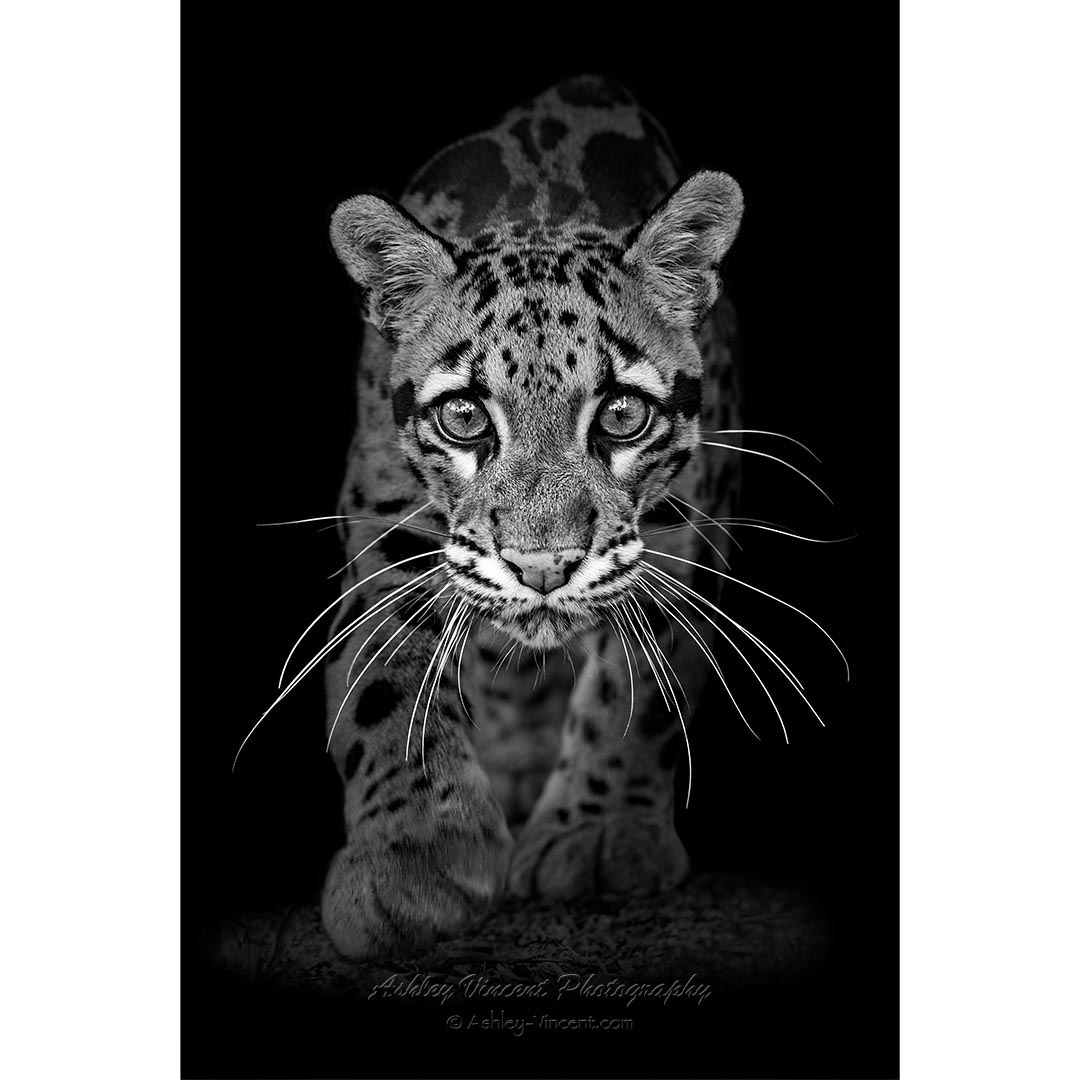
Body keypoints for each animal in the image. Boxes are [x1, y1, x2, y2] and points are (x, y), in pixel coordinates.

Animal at [315, 74, 746, 958]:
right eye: (464, 418)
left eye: (622, 415)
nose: (542, 565)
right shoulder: (387, 518)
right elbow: (386, 676)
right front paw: (411, 858)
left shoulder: (683, 520)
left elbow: (643, 681)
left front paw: (600, 828)